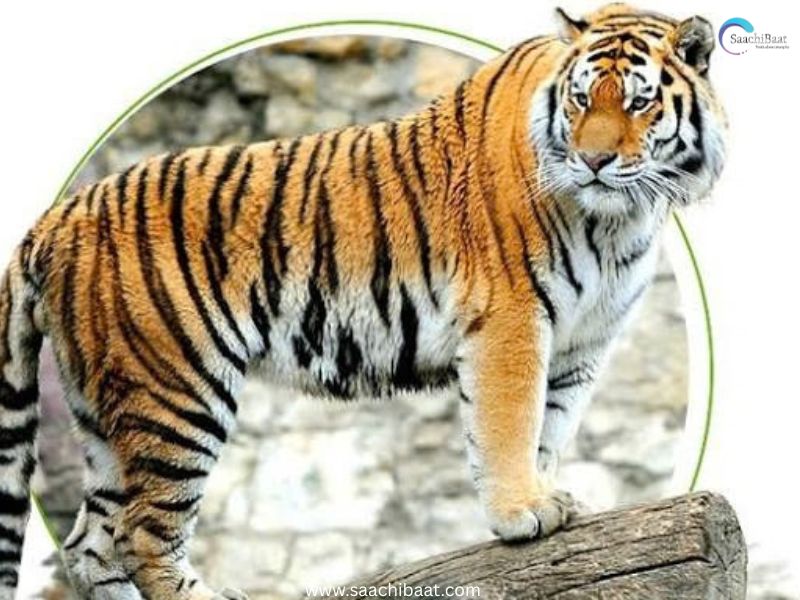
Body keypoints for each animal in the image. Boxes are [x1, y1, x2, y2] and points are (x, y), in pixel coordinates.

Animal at [0, 4, 726, 599]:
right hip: (176, 391)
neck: (618, 218)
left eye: (638, 103)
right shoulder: (514, 318)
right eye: (580, 101)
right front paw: (522, 512)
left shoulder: (581, 341)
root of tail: (53, 218)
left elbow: (549, 426)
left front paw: (545, 498)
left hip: (106, 412)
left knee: (90, 543)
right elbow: (510, 422)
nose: (593, 161)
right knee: (142, 532)